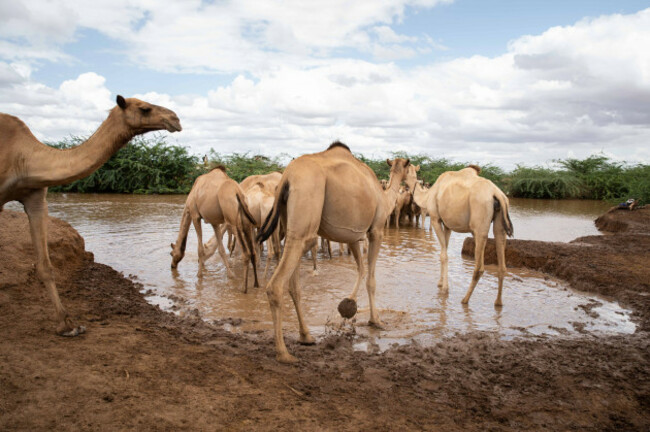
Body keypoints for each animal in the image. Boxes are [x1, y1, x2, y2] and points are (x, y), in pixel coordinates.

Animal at [1, 96, 182, 336]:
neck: (23, 159)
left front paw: (68, 326)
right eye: (144, 108)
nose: (175, 119)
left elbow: (45, 266)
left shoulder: (36, 197)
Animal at [170, 165, 258, 294]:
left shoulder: (195, 215)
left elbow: (200, 249)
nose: (172, 266)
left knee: (246, 253)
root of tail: (238, 193)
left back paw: (244, 288)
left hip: (234, 220)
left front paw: (199, 275)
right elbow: (220, 249)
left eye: (171, 253)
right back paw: (256, 284)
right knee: (253, 252)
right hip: (246, 222)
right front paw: (230, 275)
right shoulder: (214, 222)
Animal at [256, 141, 412, 362]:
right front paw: (376, 320)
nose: (414, 177)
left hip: (291, 223)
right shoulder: (376, 230)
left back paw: (306, 336)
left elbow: (360, 269)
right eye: (410, 166)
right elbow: (371, 279)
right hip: (306, 215)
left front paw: (348, 306)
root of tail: (286, 178)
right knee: (277, 284)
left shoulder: (354, 235)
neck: (385, 196)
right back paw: (283, 353)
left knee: (294, 285)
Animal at [410, 165, 512, 308]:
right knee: (502, 263)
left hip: (479, 225)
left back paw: (465, 299)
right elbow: (444, 252)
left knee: (479, 267)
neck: (428, 194)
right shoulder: (447, 225)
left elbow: (443, 255)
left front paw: (445, 288)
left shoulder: (436, 219)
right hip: (500, 221)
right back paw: (498, 302)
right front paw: (440, 283)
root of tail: (497, 194)